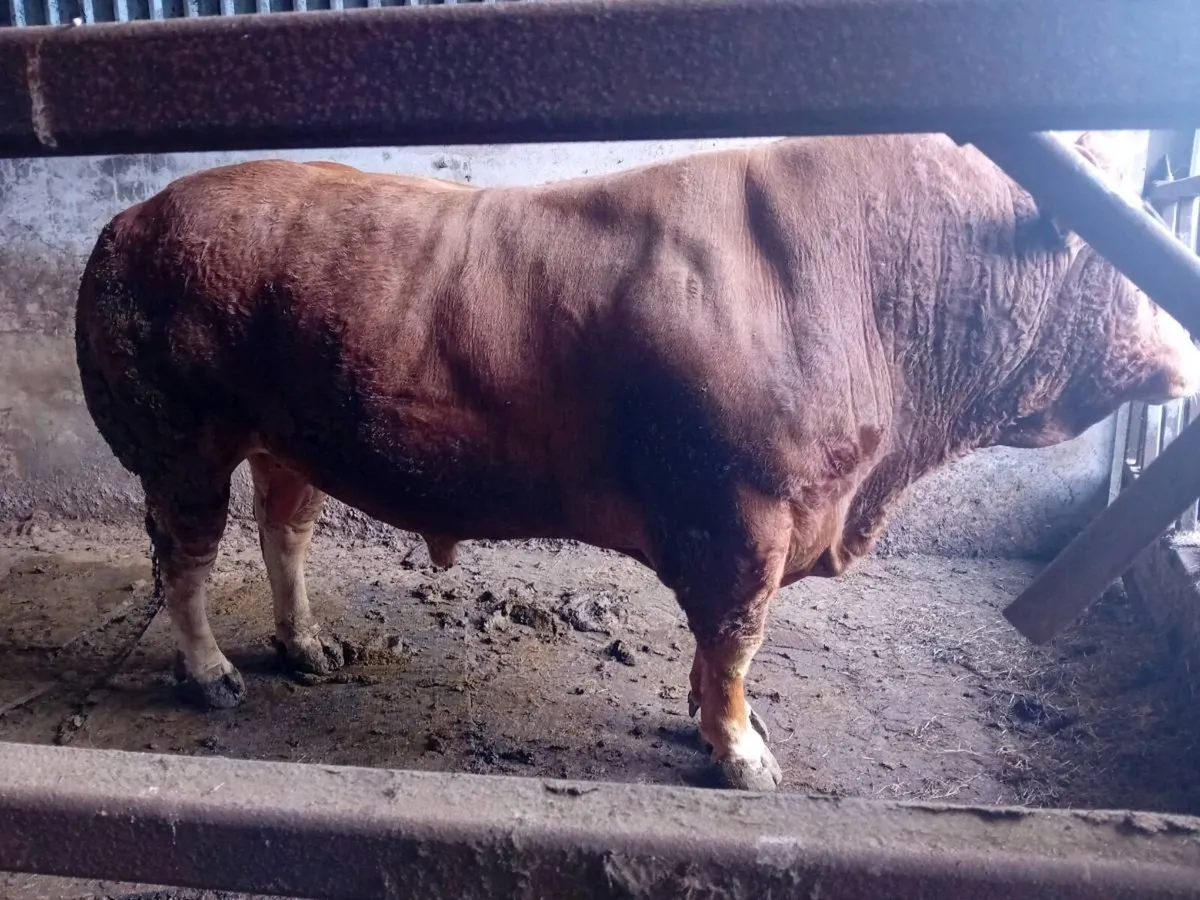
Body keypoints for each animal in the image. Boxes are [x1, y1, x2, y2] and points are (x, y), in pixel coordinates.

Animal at [74, 133, 1200, 791]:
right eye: (1132, 238)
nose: (1183, 346)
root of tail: (135, 214)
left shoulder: (741, 529)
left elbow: (715, 648)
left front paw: (706, 721)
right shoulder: (742, 517)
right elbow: (737, 640)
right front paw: (741, 752)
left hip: (286, 437)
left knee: (285, 532)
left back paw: (305, 646)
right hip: (181, 442)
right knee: (187, 559)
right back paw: (211, 674)